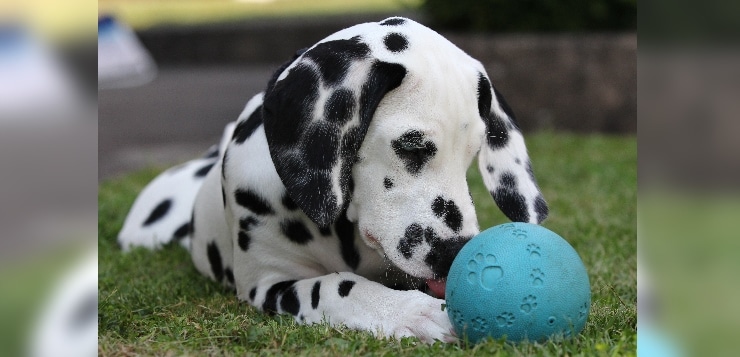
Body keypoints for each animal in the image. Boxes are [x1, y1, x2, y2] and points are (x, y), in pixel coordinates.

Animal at [118, 16, 548, 342]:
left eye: (473, 154)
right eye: (411, 146)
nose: (453, 255)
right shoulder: (269, 282)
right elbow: (337, 287)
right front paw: (412, 313)